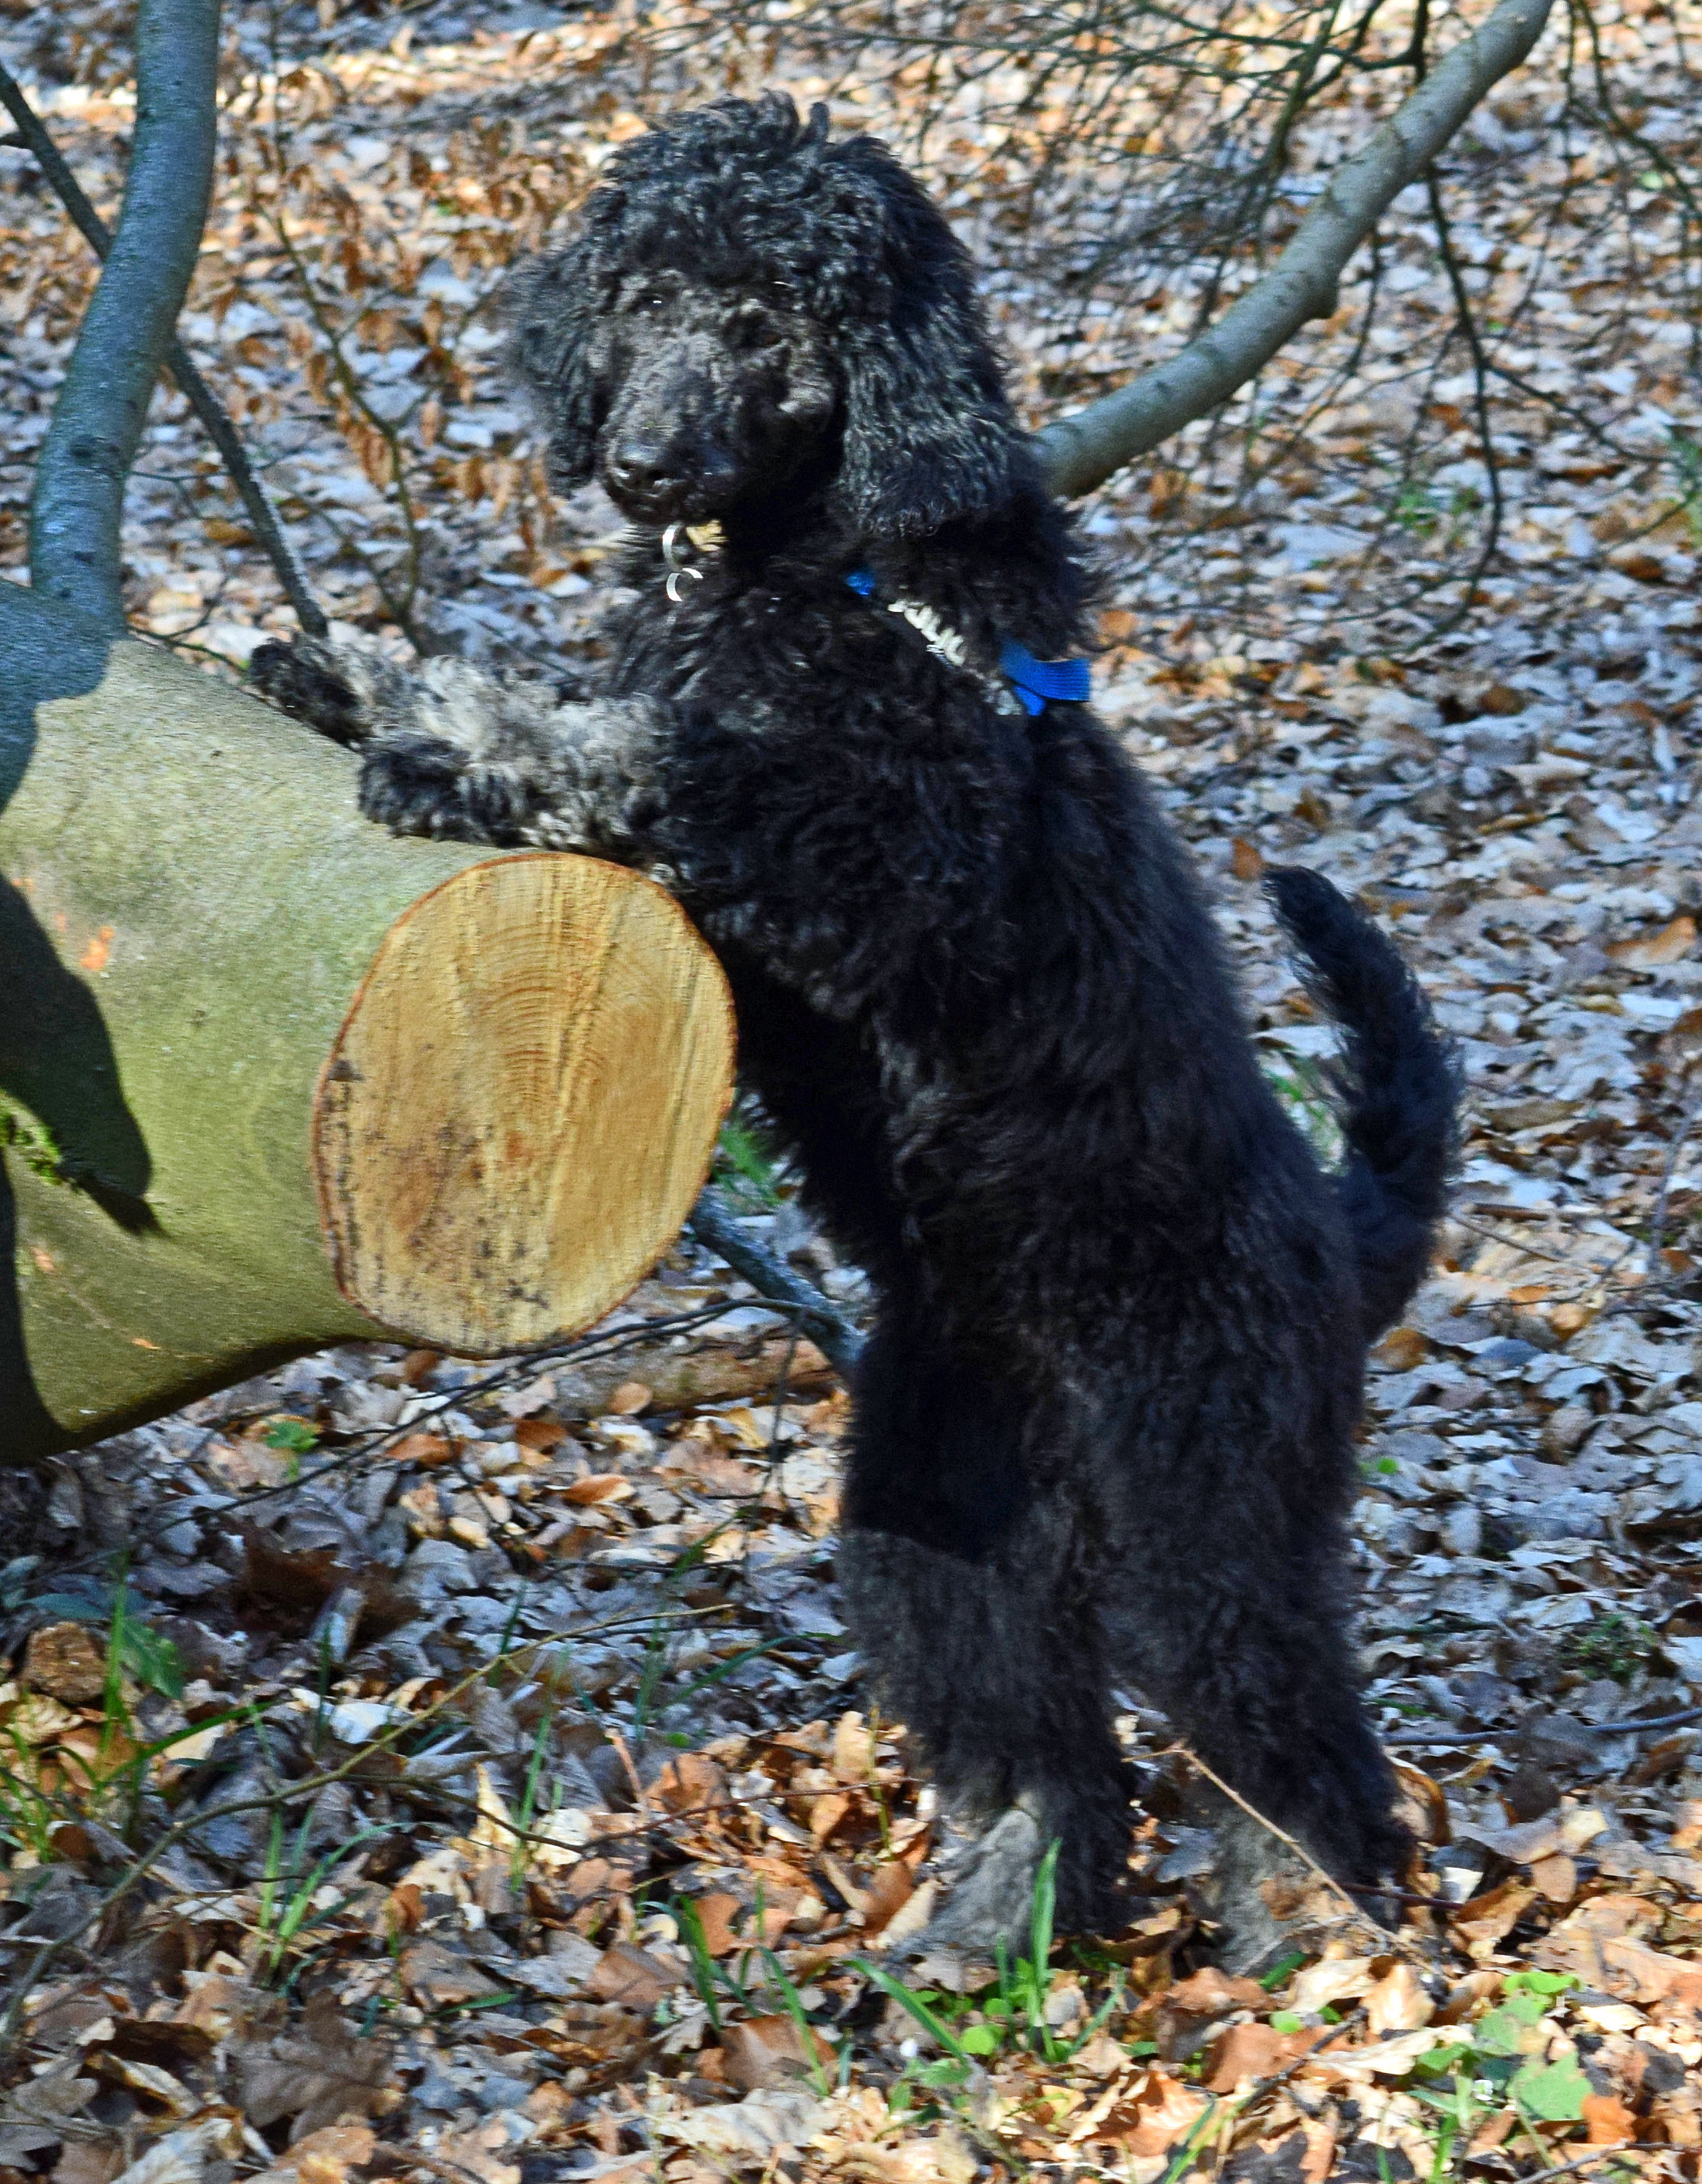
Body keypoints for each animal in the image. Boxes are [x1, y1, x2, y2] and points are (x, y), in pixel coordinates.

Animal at [253, 93, 1450, 1956]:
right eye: (647, 296)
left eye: (771, 325)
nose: (643, 464)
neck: (833, 562)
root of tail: (1340, 1238)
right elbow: (593, 699)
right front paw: (362, 677)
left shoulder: (865, 830)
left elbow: (645, 750)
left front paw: (451, 746)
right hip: (938, 1511)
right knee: (1049, 1753)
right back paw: (992, 1920)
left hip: (1201, 1494)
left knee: (1300, 1744)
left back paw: (1306, 1939)